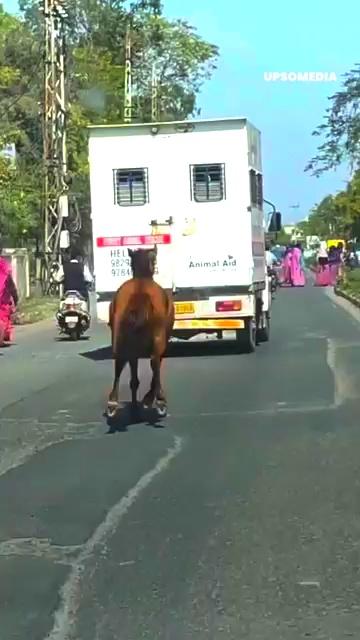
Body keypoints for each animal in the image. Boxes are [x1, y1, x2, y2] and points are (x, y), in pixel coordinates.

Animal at [107, 246, 174, 420]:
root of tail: (140, 292)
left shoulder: (133, 351)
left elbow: (134, 379)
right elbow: (155, 370)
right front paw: (148, 399)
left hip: (120, 339)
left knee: (119, 363)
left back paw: (113, 403)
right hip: (158, 339)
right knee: (154, 362)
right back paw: (159, 401)